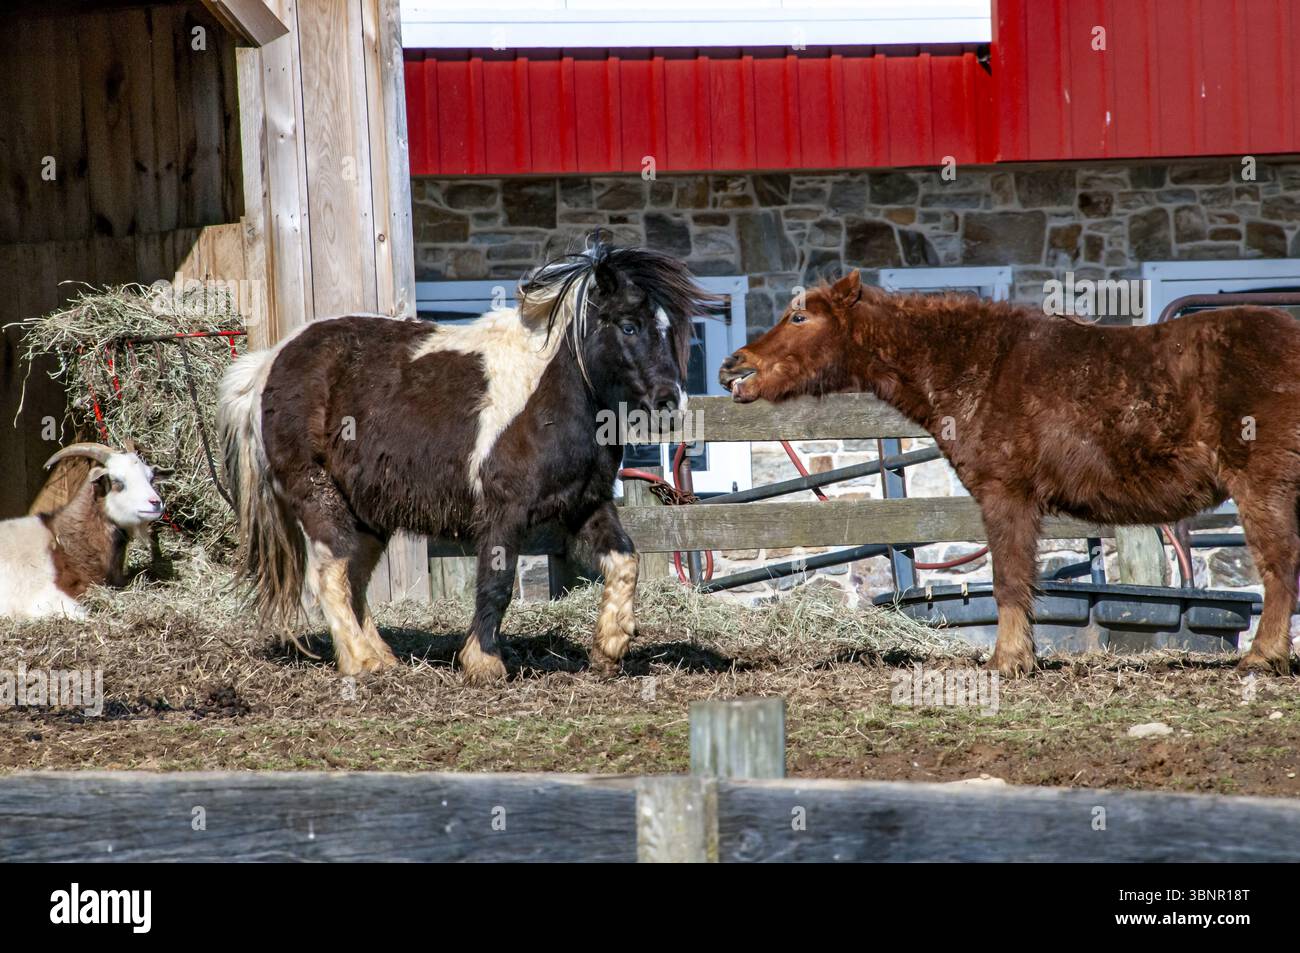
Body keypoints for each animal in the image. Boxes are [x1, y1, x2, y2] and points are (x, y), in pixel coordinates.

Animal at [218, 240, 718, 682]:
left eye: (668, 328)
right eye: (629, 326)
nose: (670, 403)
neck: (551, 392)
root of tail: (269, 363)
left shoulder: (587, 502)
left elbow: (625, 560)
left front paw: (610, 647)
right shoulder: (504, 511)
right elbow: (496, 582)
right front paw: (484, 663)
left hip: (367, 514)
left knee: (352, 579)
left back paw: (382, 658)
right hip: (319, 497)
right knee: (330, 575)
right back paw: (359, 663)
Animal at [720, 269, 1300, 677]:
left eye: (799, 319)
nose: (734, 366)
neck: (977, 364)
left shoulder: (1006, 494)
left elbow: (1008, 580)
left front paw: (1007, 659)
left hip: (1263, 484)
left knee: (1278, 567)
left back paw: (1262, 657)